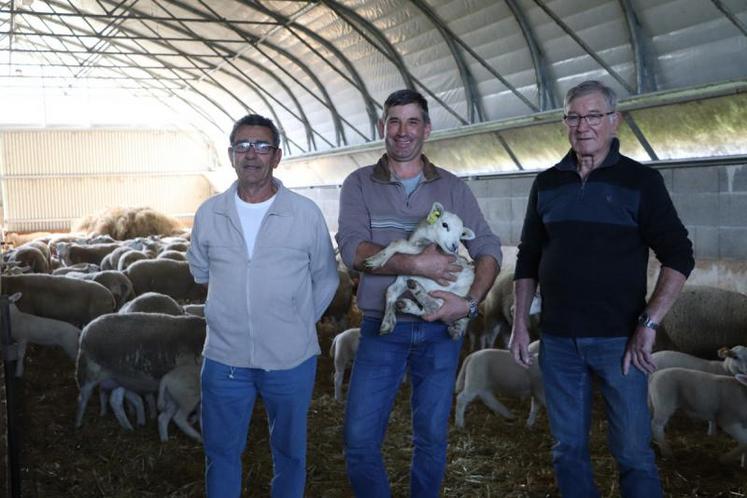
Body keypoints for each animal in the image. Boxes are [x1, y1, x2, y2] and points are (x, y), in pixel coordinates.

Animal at [74, 312, 206, 428]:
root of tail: (85, 331)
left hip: (117, 378)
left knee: (115, 401)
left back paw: (128, 427)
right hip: (88, 372)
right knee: (82, 399)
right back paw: (78, 423)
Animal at [364, 201, 480, 338]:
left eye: (461, 234)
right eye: (444, 224)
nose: (455, 247)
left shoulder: (424, 251)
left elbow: (398, 242)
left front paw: (375, 260)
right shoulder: (404, 277)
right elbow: (390, 291)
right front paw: (387, 321)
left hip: (458, 292)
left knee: (437, 306)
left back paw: (417, 290)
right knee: (428, 311)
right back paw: (406, 304)